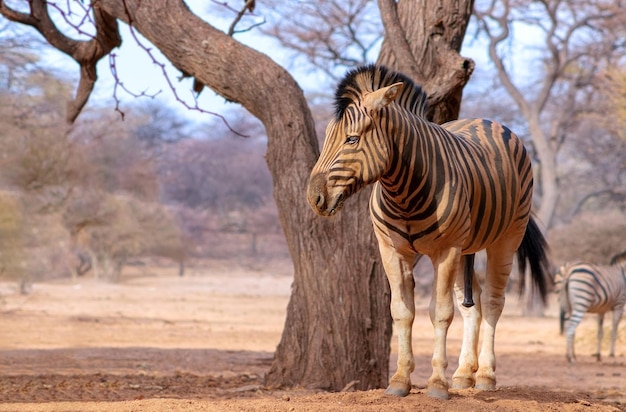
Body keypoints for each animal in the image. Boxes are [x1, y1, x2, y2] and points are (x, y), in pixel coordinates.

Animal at [304, 64, 548, 400]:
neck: (402, 191)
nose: (313, 198)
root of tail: (487, 121)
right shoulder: (391, 250)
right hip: (466, 248)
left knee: (493, 302)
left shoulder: (446, 251)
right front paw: (399, 381)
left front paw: (436, 384)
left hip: (506, 238)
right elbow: (401, 311)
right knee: (473, 305)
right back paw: (463, 374)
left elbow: (441, 313)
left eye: (351, 140)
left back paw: (485, 375)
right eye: (328, 137)